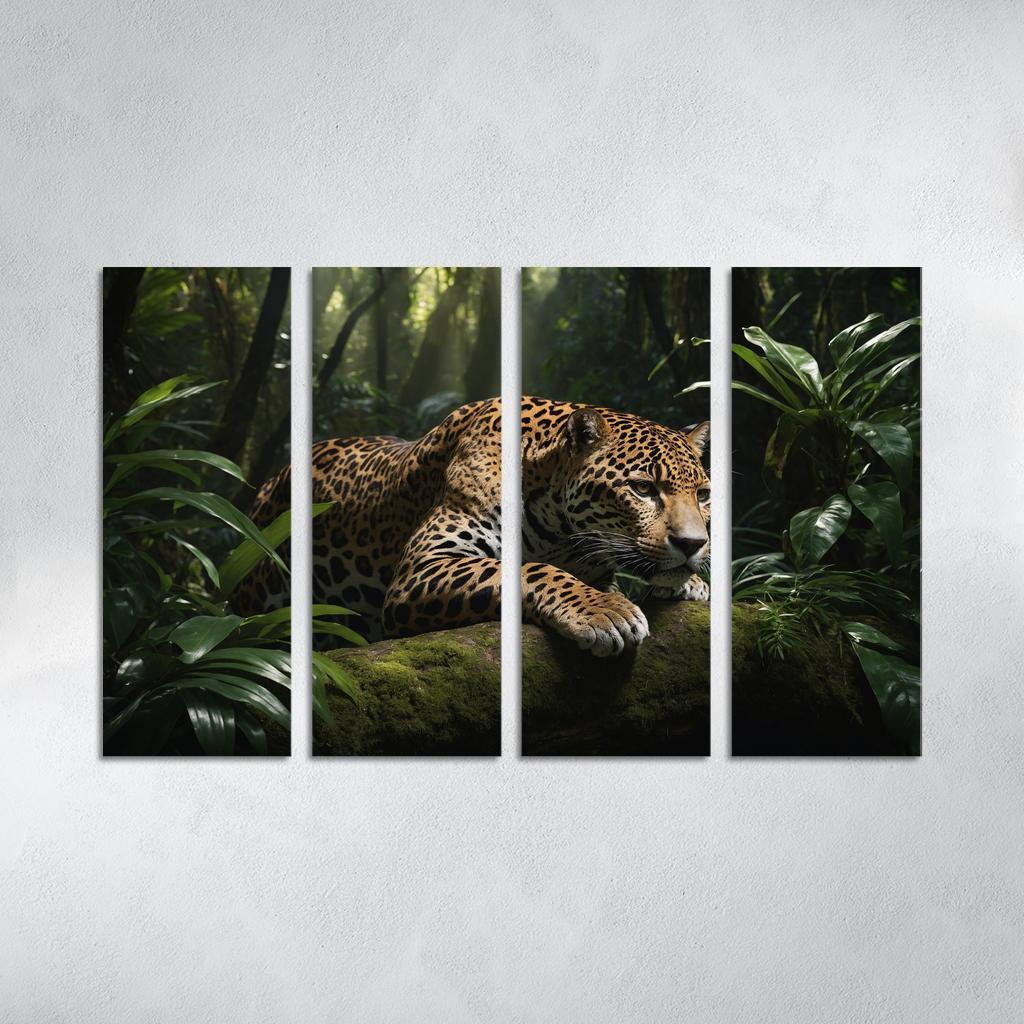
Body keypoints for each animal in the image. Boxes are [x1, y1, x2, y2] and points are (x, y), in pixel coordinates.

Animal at [235, 396, 710, 657]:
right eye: (643, 488)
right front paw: (604, 611)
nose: (693, 544)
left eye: (703, 494)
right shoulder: (423, 567)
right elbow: (529, 569)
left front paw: (688, 584)